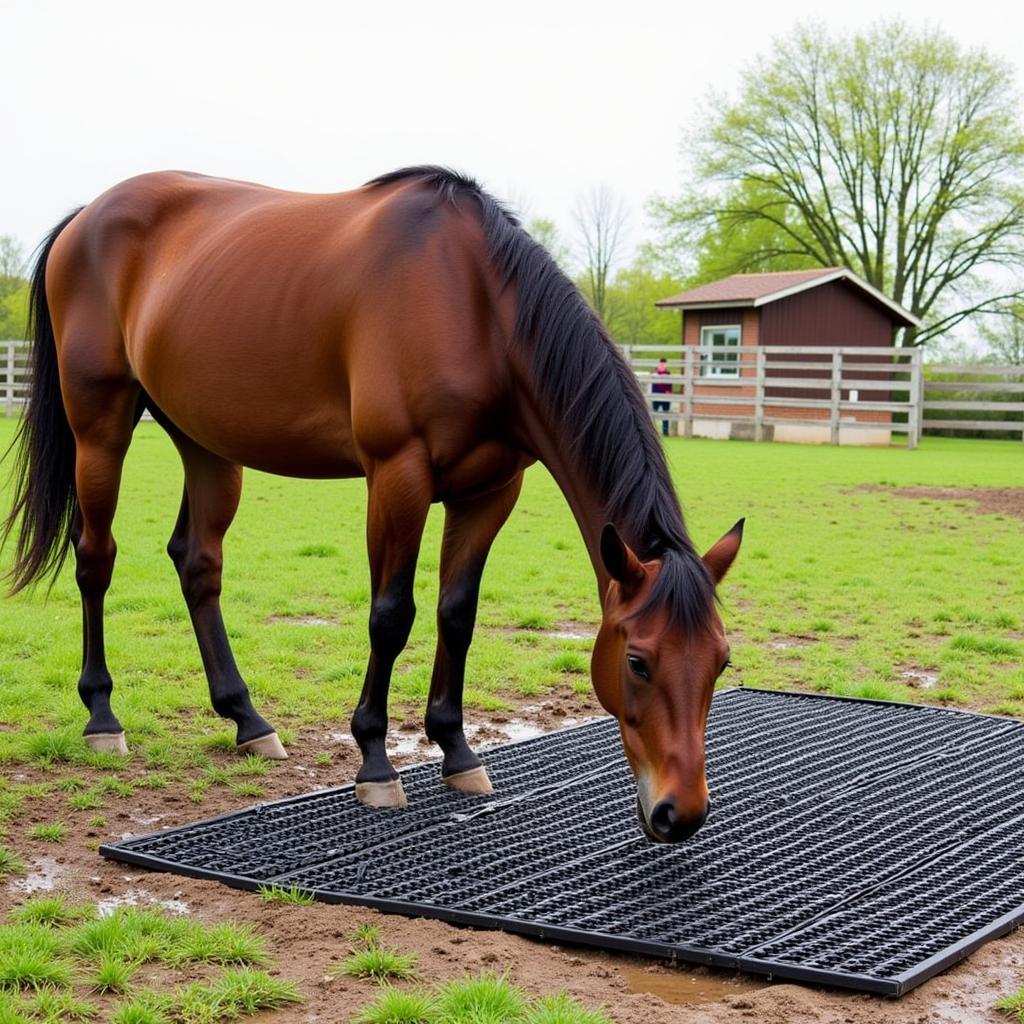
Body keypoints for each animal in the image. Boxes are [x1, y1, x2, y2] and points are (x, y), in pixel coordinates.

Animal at [6, 165, 745, 839]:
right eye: (637, 661)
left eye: (721, 661)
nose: (680, 813)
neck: (475, 304)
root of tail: (86, 216)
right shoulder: (397, 477)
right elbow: (392, 615)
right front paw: (375, 761)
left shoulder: (489, 493)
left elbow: (457, 614)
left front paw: (457, 750)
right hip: (100, 426)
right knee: (95, 558)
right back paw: (103, 717)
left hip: (205, 441)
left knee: (198, 563)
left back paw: (247, 719)